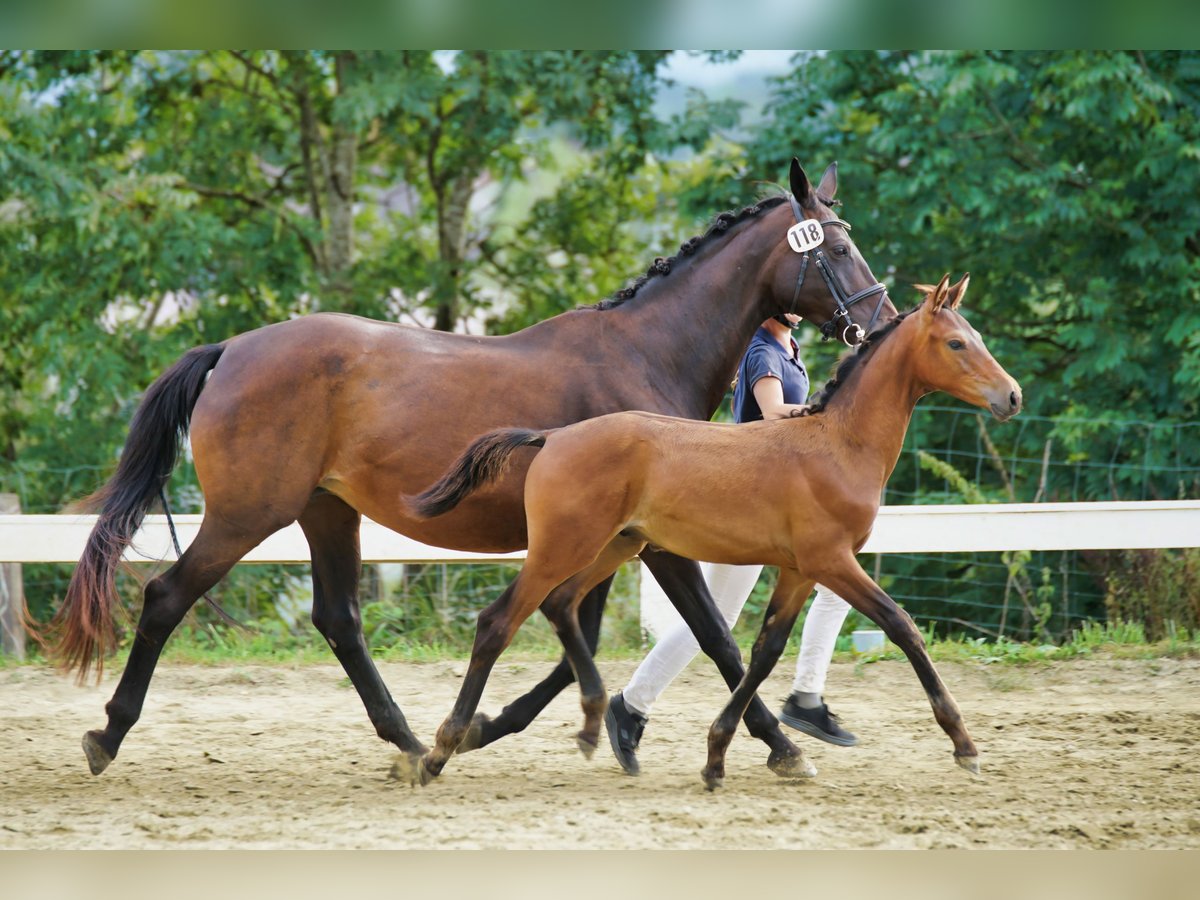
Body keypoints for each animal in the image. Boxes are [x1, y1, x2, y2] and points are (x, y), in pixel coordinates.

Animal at [58, 158, 902, 777]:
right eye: (834, 247)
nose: (884, 323)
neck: (645, 353)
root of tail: (231, 348)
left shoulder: (607, 538)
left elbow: (578, 639)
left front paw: (500, 726)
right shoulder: (656, 541)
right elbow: (712, 638)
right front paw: (781, 748)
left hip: (327, 510)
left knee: (339, 619)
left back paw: (407, 745)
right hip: (248, 512)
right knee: (168, 596)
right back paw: (106, 737)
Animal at [405, 274, 1022, 787]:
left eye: (975, 336)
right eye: (957, 343)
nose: (1012, 396)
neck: (839, 445)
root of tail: (552, 437)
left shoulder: (798, 570)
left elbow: (765, 650)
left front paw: (727, 756)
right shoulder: (831, 561)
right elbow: (902, 626)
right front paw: (965, 746)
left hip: (613, 546)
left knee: (561, 606)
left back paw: (589, 723)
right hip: (565, 547)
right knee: (498, 622)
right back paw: (440, 751)